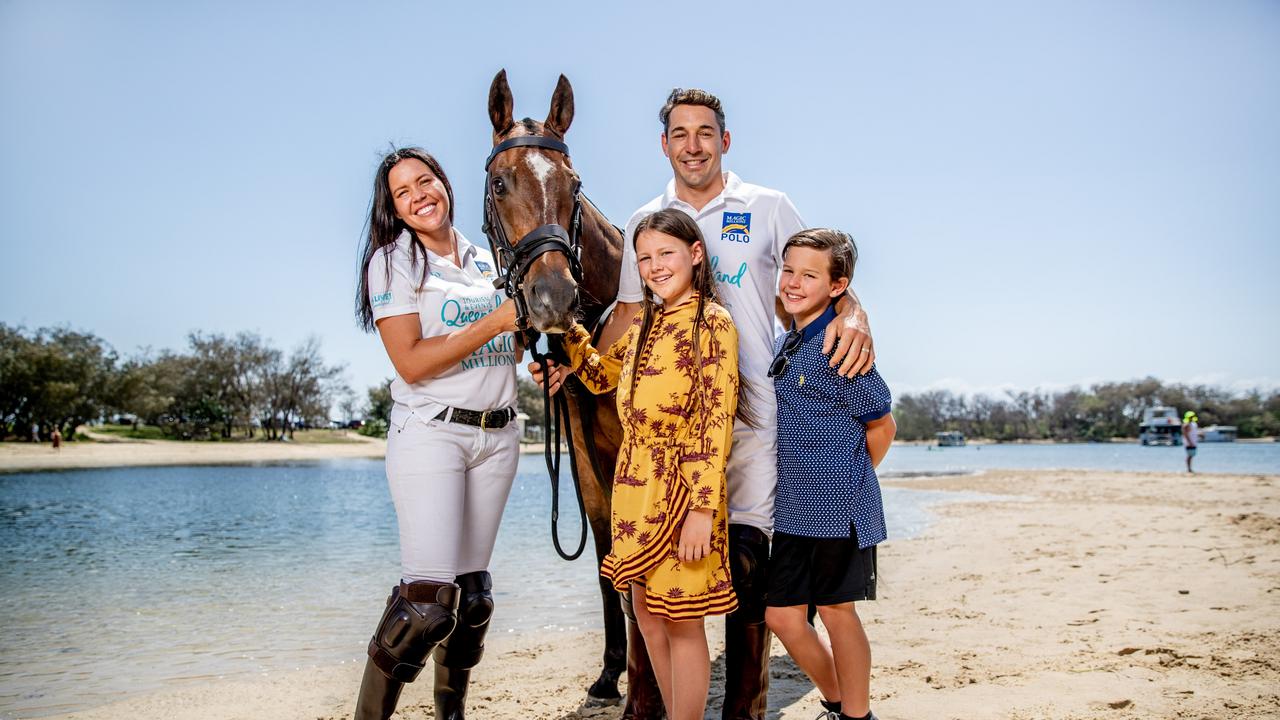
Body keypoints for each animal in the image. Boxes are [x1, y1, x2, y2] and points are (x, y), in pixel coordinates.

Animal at [481, 68, 660, 717]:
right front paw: (612, 675)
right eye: (500, 182)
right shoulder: (587, 463)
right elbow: (609, 566)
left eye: (574, 185)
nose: (554, 297)